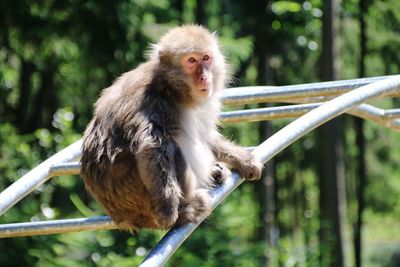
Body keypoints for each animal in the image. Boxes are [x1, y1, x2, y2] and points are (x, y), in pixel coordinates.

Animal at [80, 24, 262, 231]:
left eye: (206, 58)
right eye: (191, 61)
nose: (203, 77)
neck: (173, 89)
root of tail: (125, 219)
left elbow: (205, 135)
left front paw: (243, 160)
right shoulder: (154, 103)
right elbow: (152, 145)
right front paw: (170, 211)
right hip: (142, 205)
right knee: (174, 149)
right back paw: (184, 209)